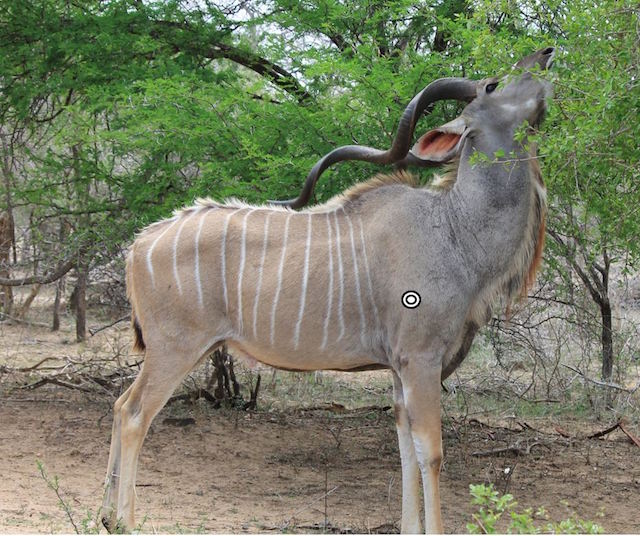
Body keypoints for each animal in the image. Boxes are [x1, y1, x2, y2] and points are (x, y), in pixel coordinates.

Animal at [102, 48, 552, 532]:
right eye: (492, 85)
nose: (546, 54)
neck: (453, 226)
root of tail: (139, 244)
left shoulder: (399, 370)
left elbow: (405, 450)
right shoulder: (421, 360)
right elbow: (430, 453)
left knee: (119, 405)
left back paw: (105, 515)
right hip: (174, 349)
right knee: (134, 414)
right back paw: (123, 520)